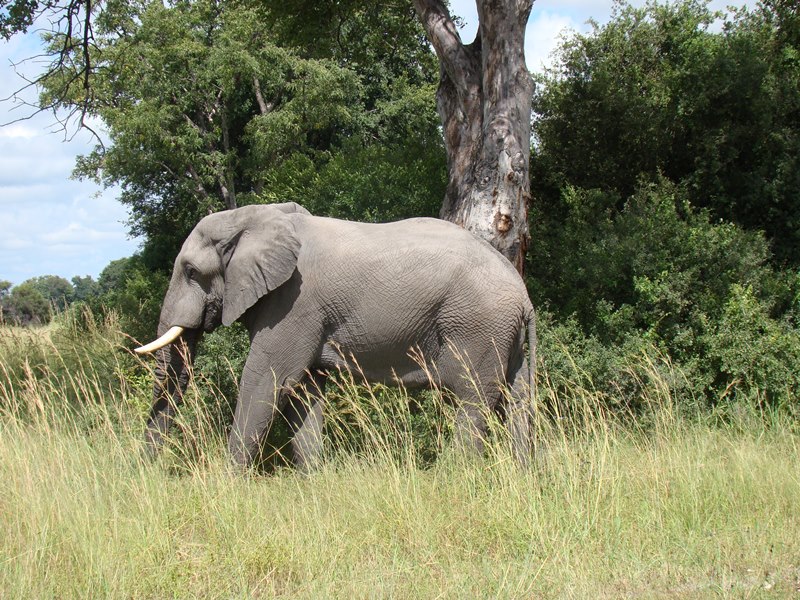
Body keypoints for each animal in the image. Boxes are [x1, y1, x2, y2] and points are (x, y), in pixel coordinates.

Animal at [136, 204, 536, 472]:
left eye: (191, 272)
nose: (148, 472)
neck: (252, 216)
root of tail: (523, 295)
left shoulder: (294, 304)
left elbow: (266, 380)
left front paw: (227, 482)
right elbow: (303, 389)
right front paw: (313, 480)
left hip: (478, 326)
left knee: (475, 400)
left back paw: (453, 477)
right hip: (504, 336)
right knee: (517, 401)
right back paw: (524, 475)